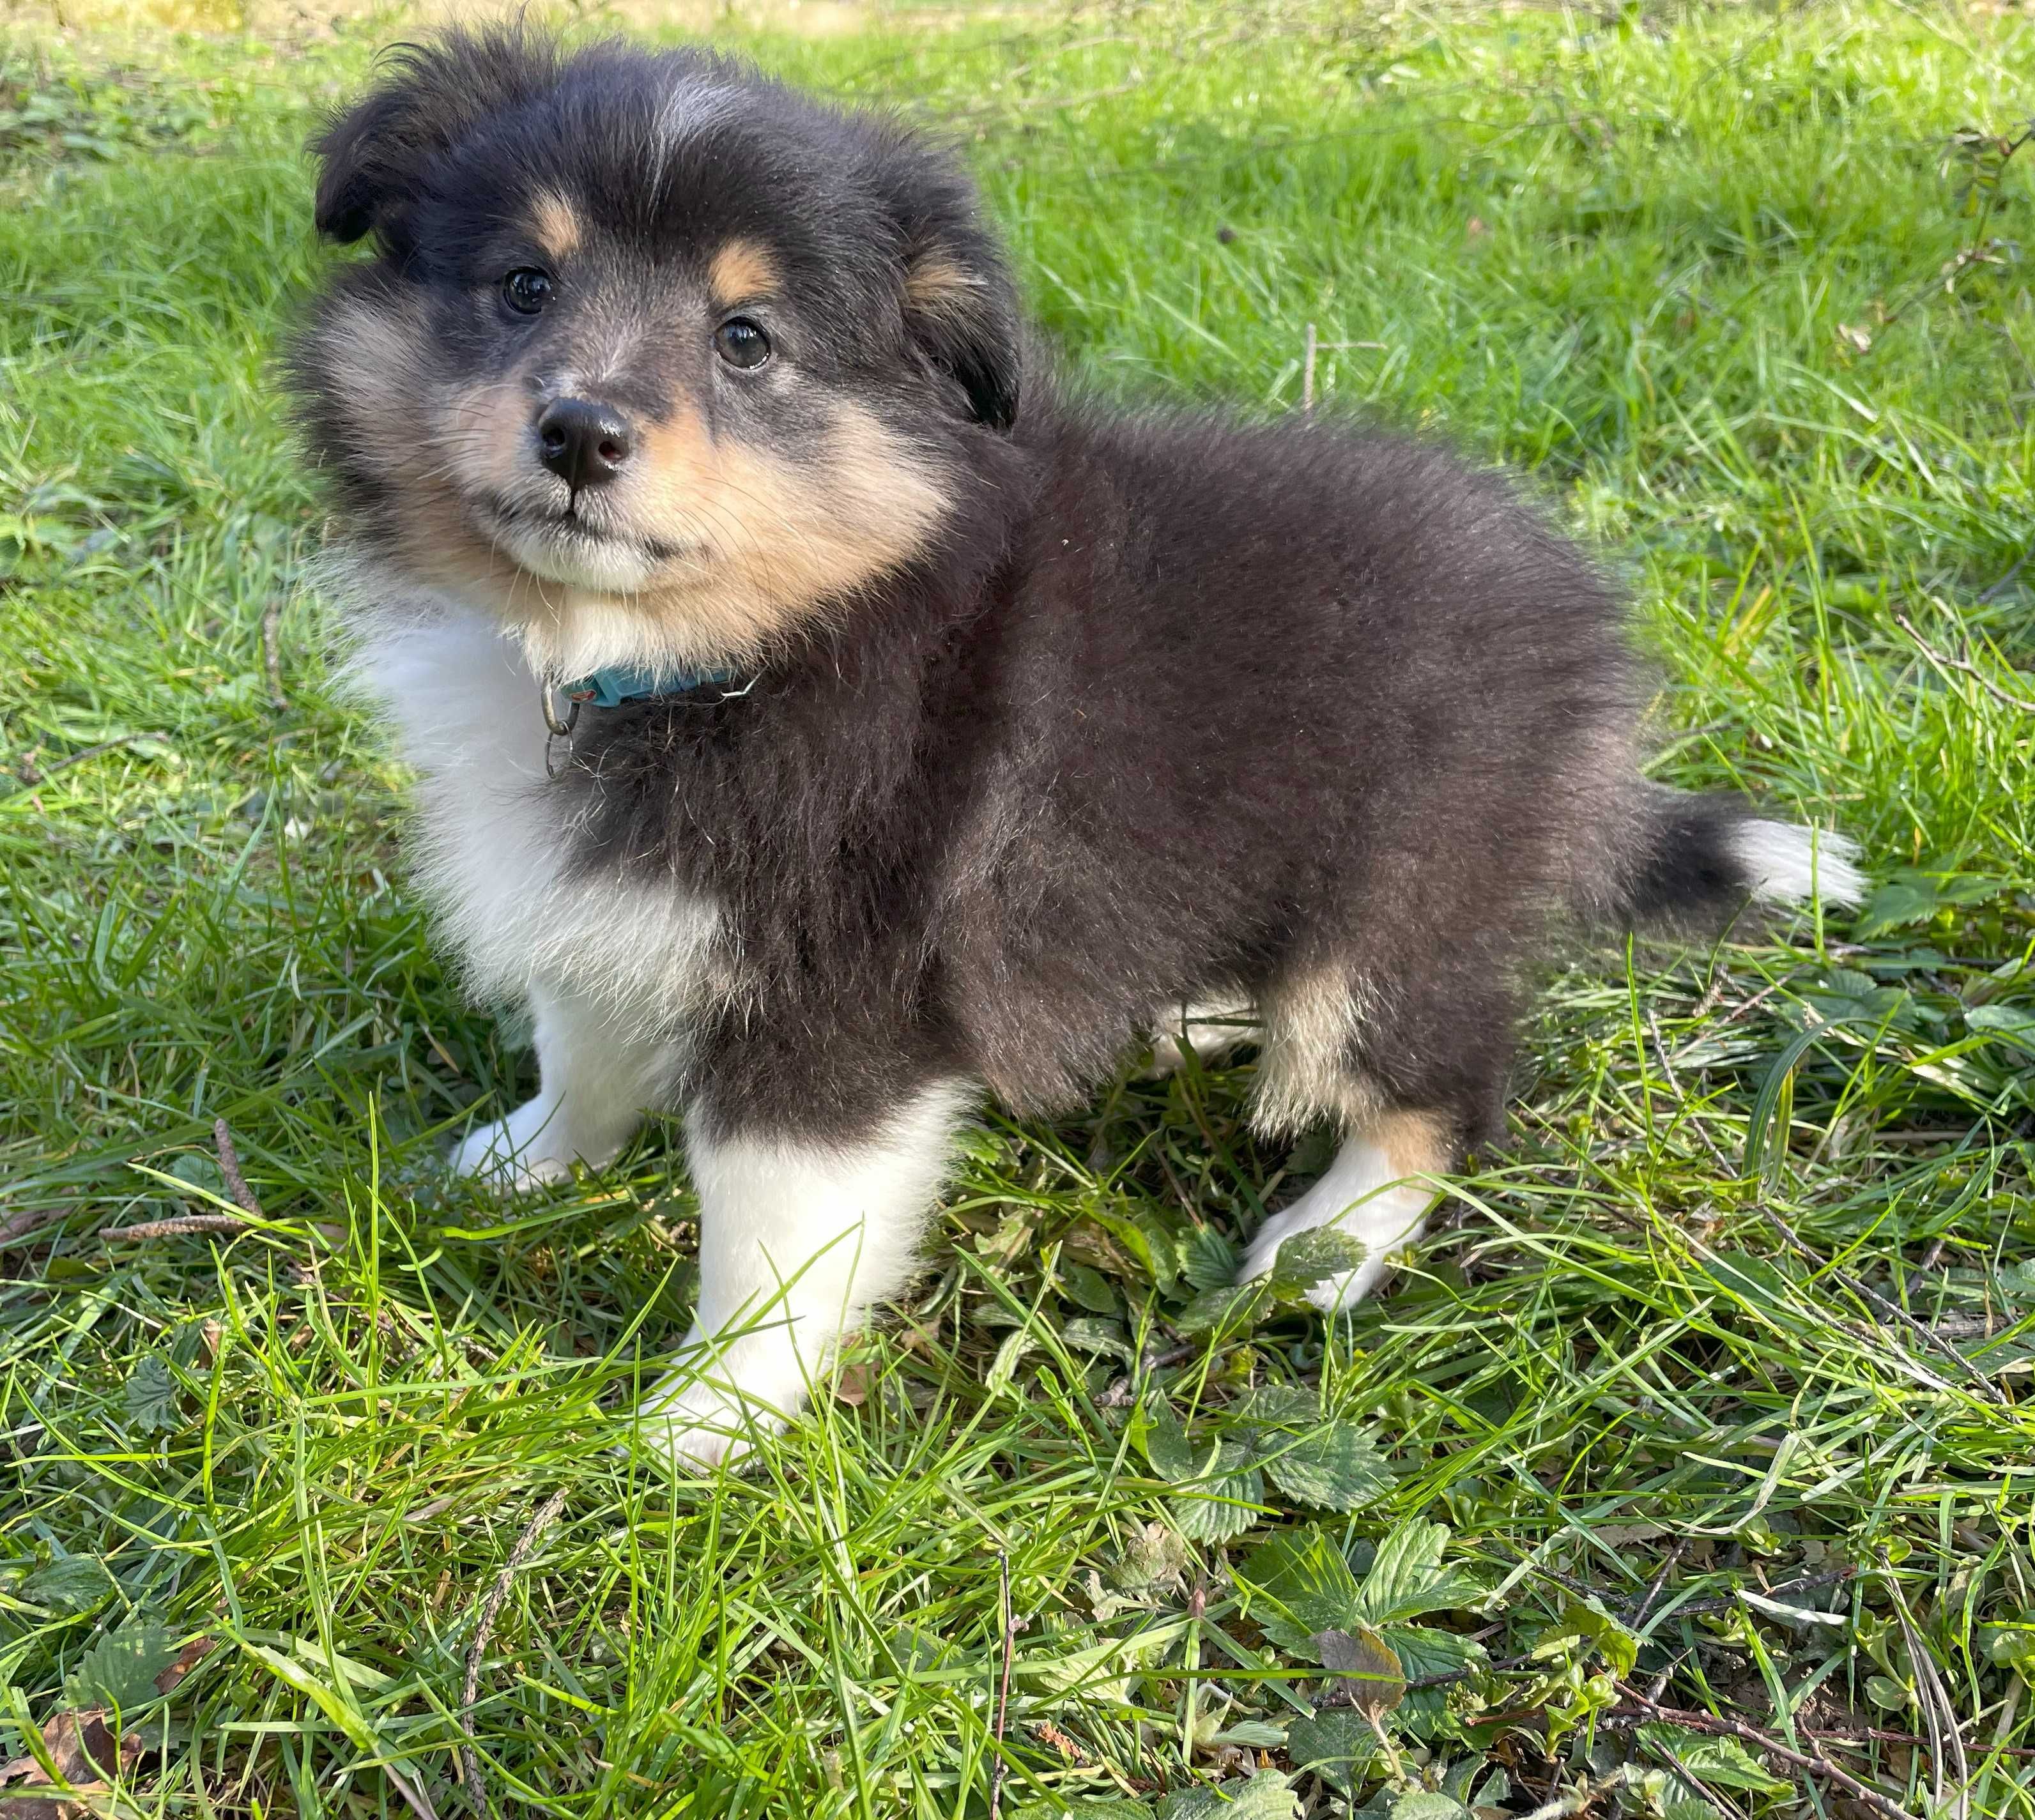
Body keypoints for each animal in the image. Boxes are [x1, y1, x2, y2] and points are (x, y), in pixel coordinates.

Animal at [287, 28, 1864, 1472]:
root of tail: (1585, 662)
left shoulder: (837, 993)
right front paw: (513, 1159)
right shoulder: (615, 901)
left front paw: (704, 1423)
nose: (580, 430)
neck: (685, 656)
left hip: (1397, 902)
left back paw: (1326, 1239)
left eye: (747, 339)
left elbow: (773, 1237)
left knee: (1440, 1089)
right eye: (523, 284)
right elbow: (586, 1039)